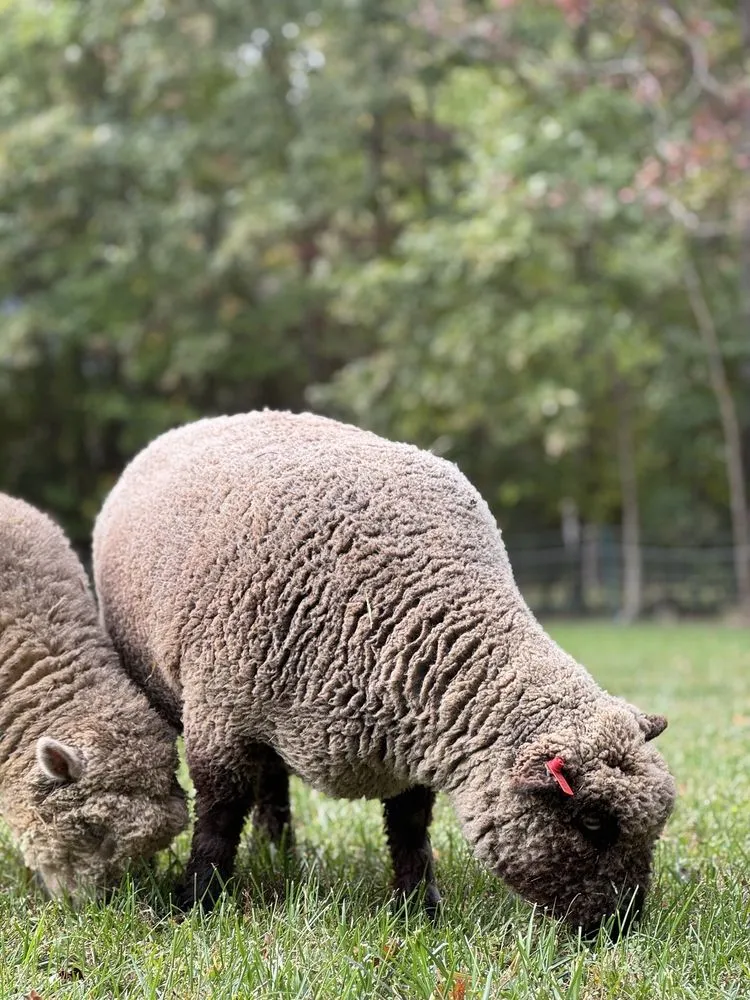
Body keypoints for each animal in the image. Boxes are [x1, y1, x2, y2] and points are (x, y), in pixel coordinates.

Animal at [92, 411, 676, 933]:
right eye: (594, 821)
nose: (623, 927)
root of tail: (192, 425)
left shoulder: (417, 744)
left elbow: (410, 828)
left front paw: (420, 909)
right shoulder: (220, 717)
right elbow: (217, 817)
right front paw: (195, 904)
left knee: (274, 780)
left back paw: (279, 852)